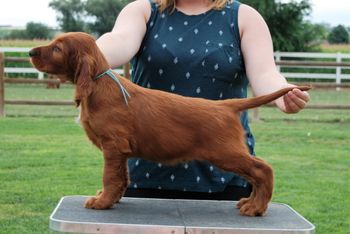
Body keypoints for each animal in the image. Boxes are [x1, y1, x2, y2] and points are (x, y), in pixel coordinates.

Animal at [29, 32, 308, 216]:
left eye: (57, 48)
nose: (30, 52)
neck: (98, 86)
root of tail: (226, 105)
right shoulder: (121, 151)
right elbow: (121, 177)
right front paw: (109, 199)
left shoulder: (113, 146)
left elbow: (109, 176)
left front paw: (101, 202)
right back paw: (250, 203)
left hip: (225, 152)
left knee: (263, 169)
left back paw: (256, 207)